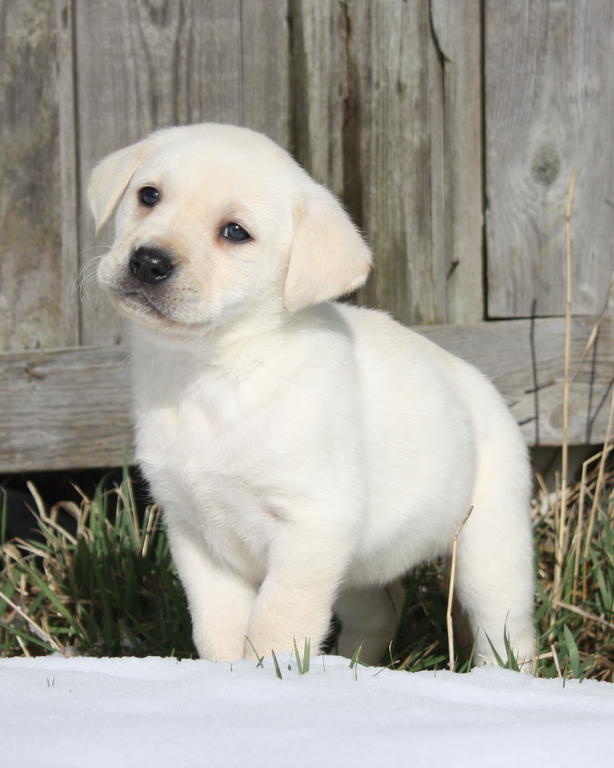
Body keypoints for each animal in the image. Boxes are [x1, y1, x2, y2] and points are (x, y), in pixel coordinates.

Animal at [89, 123, 536, 668]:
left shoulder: (312, 526)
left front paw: (274, 676)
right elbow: (217, 631)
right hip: (357, 571)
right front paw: (222, 678)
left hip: (489, 547)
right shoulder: (197, 535)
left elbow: (277, 622)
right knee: (380, 612)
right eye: (148, 195)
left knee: (507, 631)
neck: (217, 371)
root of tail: (482, 384)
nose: (148, 260)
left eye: (235, 231)